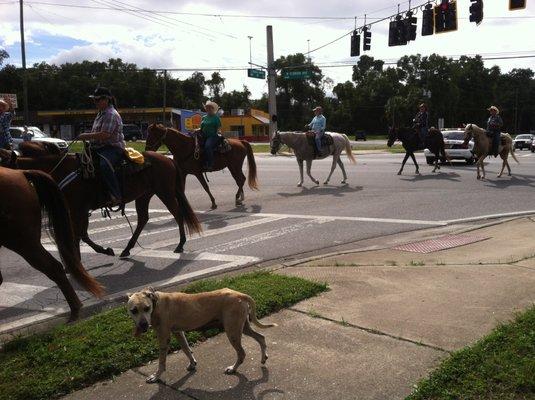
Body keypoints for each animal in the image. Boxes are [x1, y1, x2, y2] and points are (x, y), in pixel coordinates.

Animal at [1, 142, 203, 258]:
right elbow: (81, 234)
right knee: (143, 219)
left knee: (177, 214)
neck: (65, 169)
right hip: (143, 196)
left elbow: (80, 235)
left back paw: (180, 244)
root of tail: (168, 159)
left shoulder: (80, 209)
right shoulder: (76, 210)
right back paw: (127, 249)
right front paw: (102, 251)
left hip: (165, 192)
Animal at [126, 286, 276, 382]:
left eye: (147, 308)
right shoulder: (178, 332)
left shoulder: (164, 337)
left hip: (232, 331)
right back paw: (263, 358)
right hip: (242, 327)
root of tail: (240, 295)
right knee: (261, 337)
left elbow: (162, 362)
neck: (155, 302)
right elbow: (186, 349)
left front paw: (156, 377)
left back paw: (233, 369)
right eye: (134, 310)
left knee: (242, 353)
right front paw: (192, 363)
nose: (143, 325)